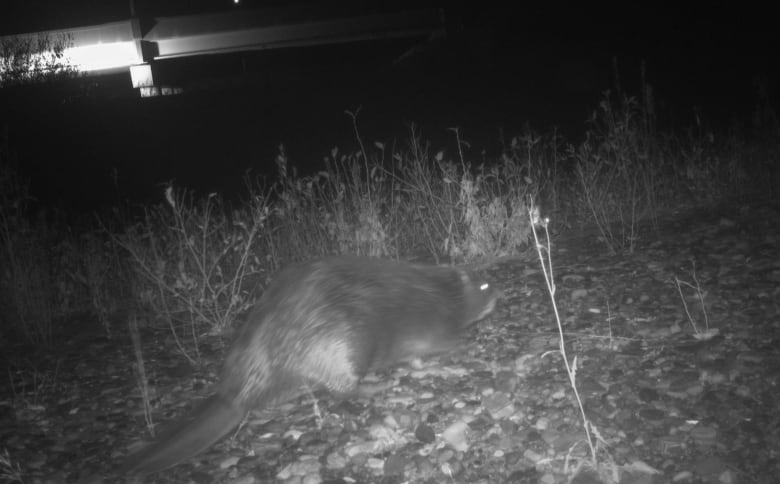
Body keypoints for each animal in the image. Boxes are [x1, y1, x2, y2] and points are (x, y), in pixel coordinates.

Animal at [122, 258, 500, 476]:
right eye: (483, 285)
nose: (498, 296)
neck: (439, 291)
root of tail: (234, 396)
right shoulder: (429, 325)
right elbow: (436, 347)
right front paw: (463, 350)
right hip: (344, 346)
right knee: (342, 391)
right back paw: (380, 387)